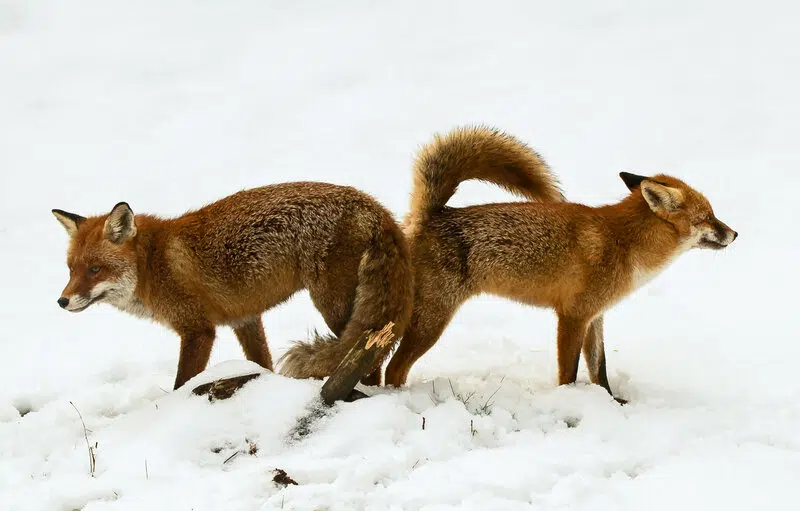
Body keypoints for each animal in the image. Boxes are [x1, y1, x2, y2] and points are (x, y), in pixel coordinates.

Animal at [52, 182, 413, 392]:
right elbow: (262, 364)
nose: (62, 301)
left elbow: (182, 383)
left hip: (333, 304)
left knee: (370, 357)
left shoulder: (198, 331)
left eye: (96, 270)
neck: (153, 263)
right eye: (71, 270)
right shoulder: (245, 318)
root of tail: (373, 205)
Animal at [383, 126, 737, 402]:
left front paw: (611, 403)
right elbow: (570, 372)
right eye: (708, 217)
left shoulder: (595, 317)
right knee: (393, 368)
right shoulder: (572, 316)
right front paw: (571, 400)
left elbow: (599, 369)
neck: (625, 245)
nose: (735, 234)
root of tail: (430, 215)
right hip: (431, 321)